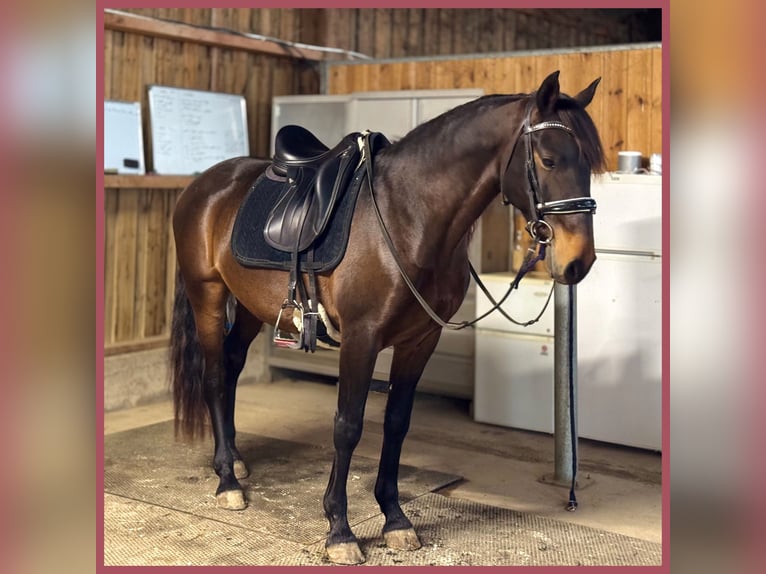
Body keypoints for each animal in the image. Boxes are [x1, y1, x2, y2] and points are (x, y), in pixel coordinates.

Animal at [168, 71, 608, 568]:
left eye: (590, 164)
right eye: (549, 159)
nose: (579, 262)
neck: (408, 218)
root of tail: (205, 183)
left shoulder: (420, 340)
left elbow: (397, 422)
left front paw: (395, 518)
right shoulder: (362, 339)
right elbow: (348, 426)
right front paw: (339, 530)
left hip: (247, 307)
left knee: (231, 367)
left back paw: (237, 459)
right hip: (207, 295)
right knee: (213, 374)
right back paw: (227, 480)